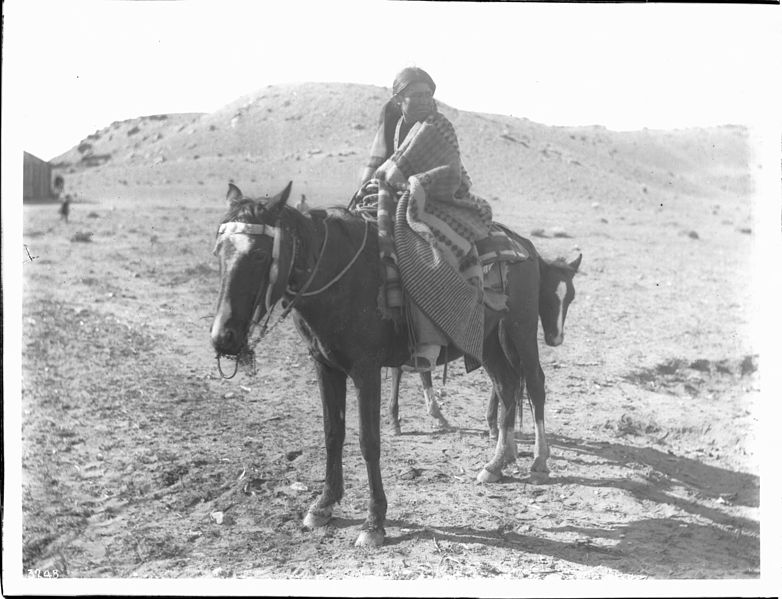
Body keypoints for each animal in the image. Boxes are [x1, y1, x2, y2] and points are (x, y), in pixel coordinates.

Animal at [213, 183, 580, 548]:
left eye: (259, 255)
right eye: (219, 252)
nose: (223, 338)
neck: (339, 276)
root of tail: (524, 246)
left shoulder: (366, 370)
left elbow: (369, 442)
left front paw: (374, 521)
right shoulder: (325, 366)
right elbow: (333, 433)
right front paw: (323, 505)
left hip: (520, 329)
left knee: (534, 384)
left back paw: (538, 462)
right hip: (488, 341)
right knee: (506, 385)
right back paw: (497, 463)